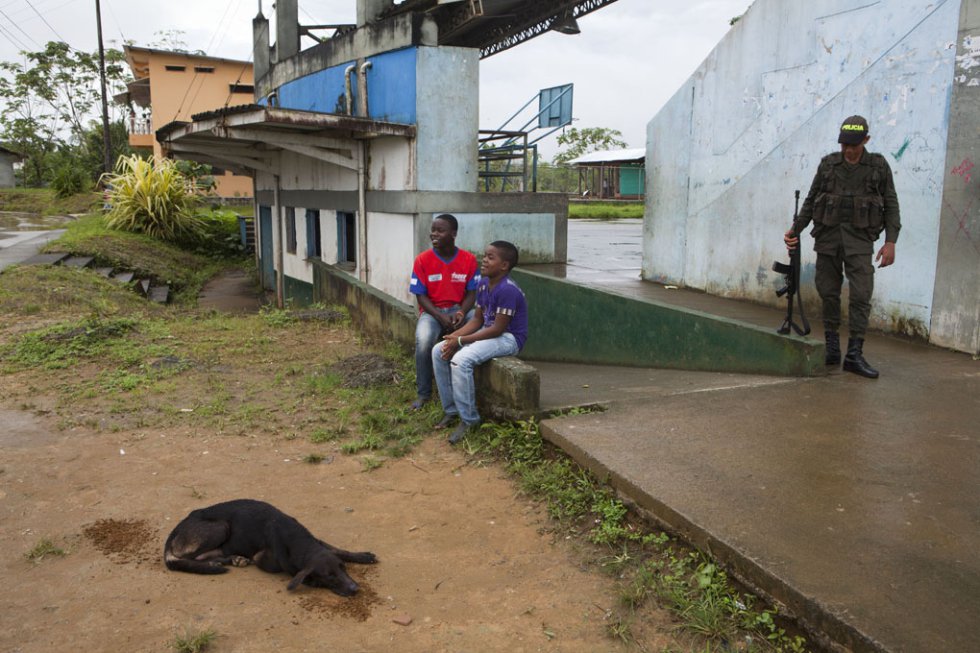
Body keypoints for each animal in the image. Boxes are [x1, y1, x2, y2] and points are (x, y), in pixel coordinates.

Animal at [163, 500, 378, 596]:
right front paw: (312, 581)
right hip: (221, 527)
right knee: (187, 557)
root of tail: (176, 528)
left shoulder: (319, 542)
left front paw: (362, 556)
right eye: (329, 576)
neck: (298, 541)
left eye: (344, 569)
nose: (356, 588)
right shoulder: (262, 558)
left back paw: (232, 559)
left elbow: (337, 549)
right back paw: (217, 563)